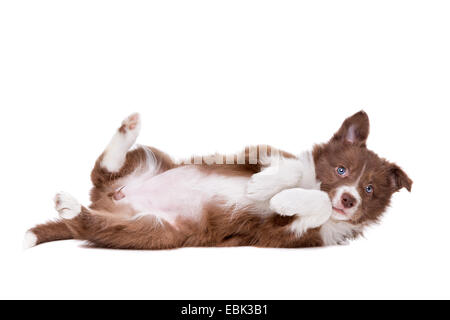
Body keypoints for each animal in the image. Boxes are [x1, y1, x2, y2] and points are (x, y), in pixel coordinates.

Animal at [24, 111, 412, 249]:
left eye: (370, 190)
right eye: (341, 170)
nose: (348, 199)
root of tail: (106, 199)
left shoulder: (286, 234)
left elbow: (314, 208)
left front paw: (283, 199)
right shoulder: (258, 154)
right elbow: (285, 168)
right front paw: (264, 187)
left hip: (148, 231)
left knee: (93, 224)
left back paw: (70, 207)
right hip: (150, 162)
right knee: (104, 167)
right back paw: (127, 129)